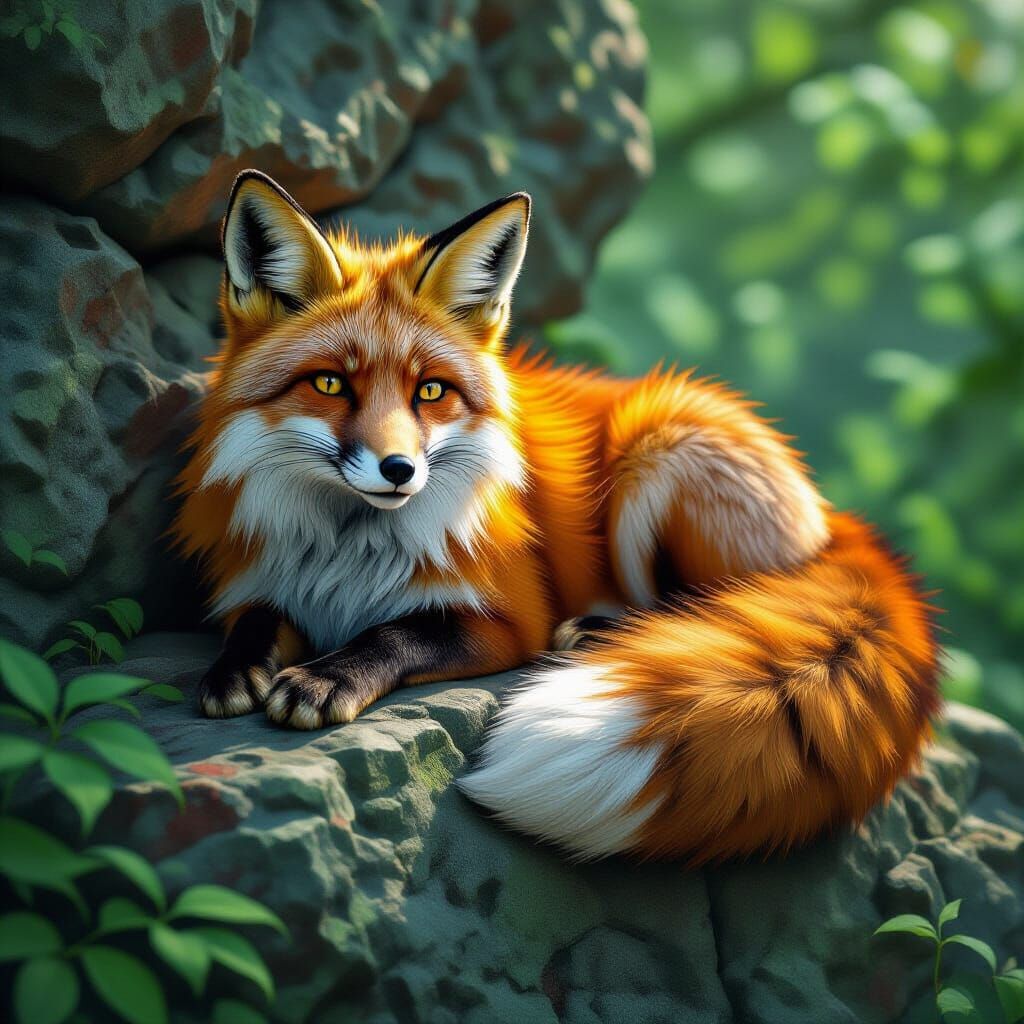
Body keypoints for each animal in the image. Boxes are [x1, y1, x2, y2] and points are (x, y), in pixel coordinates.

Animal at [174, 169, 939, 863]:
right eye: (331, 383)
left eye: (431, 392)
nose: (399, 470)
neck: (347, 555)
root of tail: (834, 518)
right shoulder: (269, 581)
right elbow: (255, 622)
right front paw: (234, 669)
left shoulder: (506, 619)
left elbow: (395, 634)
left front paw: (329, 675)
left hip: (656, 452)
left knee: (723, 601)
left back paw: (601, 632)